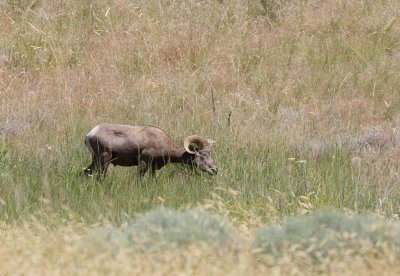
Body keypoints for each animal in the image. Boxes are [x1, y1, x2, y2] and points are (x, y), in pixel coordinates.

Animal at [83, 123, 217, 177]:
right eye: (203, 155)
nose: (215, 170)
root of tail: (89, 134)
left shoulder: (153, 167)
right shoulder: (143, 163)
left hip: (96, 161)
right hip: (104, 161)